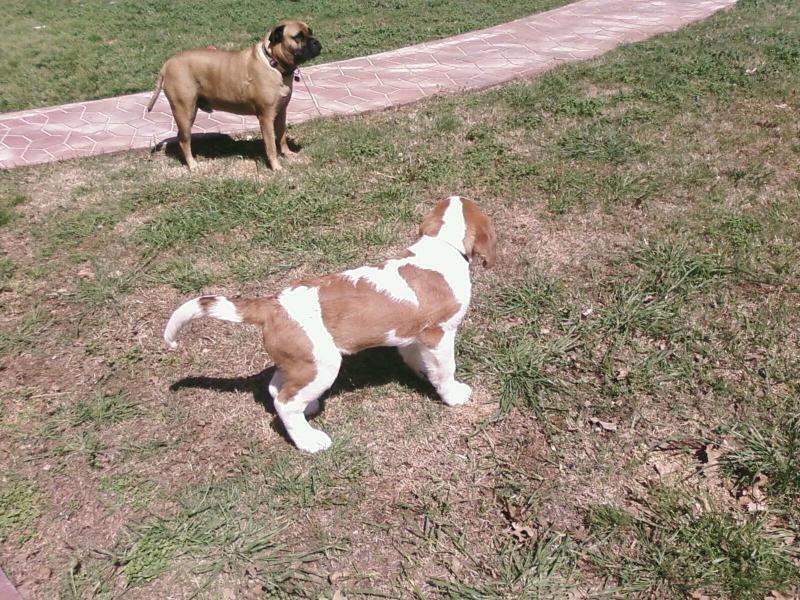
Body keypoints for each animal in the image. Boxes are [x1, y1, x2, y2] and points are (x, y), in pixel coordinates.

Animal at [145, 20, 320, 171]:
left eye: (310, 32)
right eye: (298, 37)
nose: (316, 42)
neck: (274, 63)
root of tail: (167, 64)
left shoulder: (281, 111)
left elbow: (281, 135)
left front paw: (287, 153)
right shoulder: (266, 117)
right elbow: (270, 145)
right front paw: (276, 166)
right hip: (185, 110)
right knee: (184, 139)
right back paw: (192, 164)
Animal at [166, 195, 496, 452]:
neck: (441, 244)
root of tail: (273, 304)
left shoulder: (413, 336)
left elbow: (416, 359)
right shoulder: (438, 334)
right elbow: (445, 369)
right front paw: (453, 395)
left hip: (303, 362)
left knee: (276, 388)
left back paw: (309, 408)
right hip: (323, 365)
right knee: (284, 403)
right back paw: (309, 442)